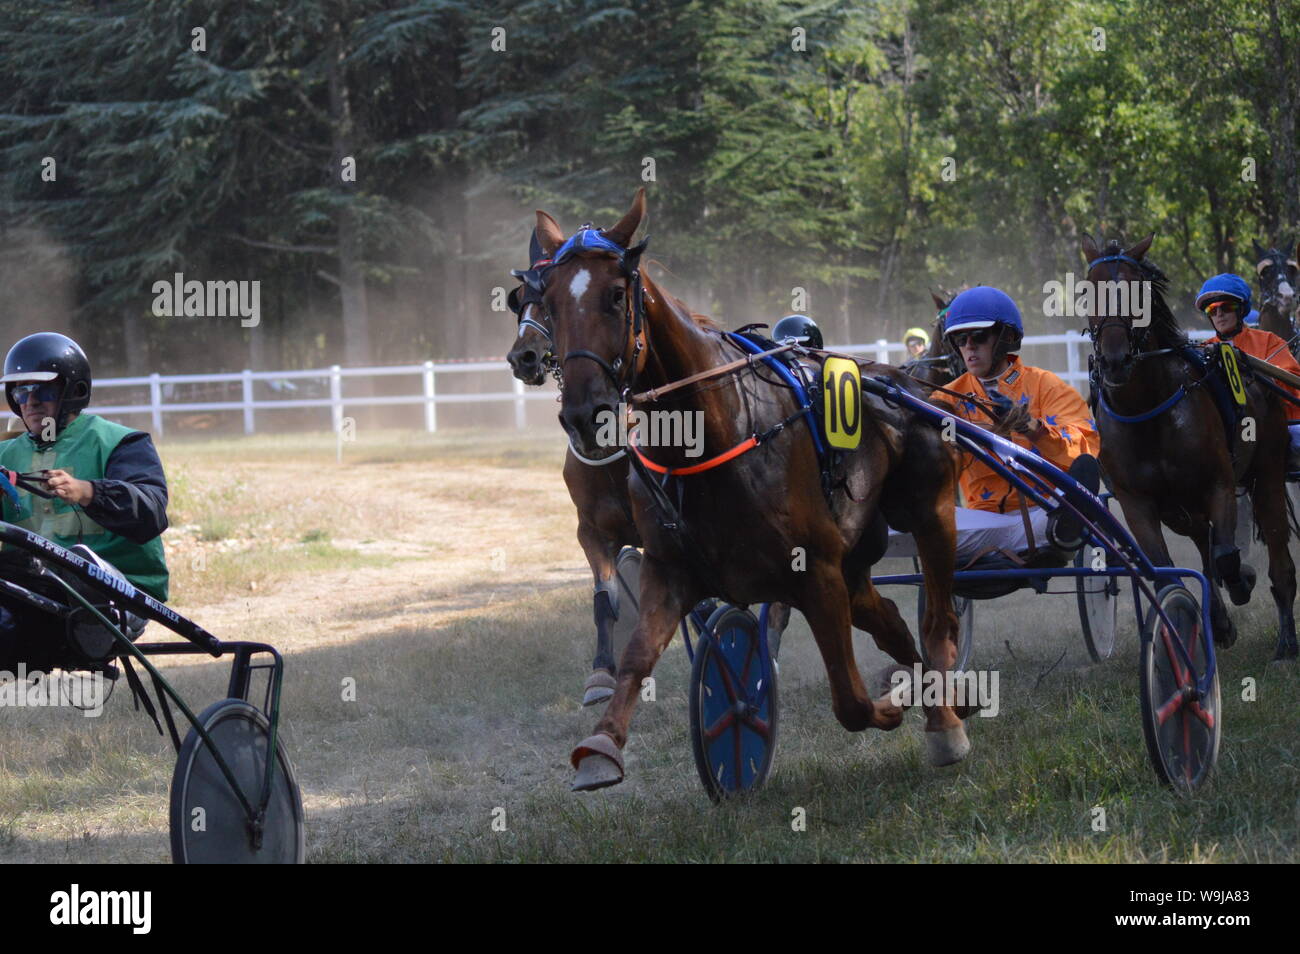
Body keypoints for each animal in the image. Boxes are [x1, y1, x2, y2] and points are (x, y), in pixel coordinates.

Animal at [531, 188, 969, 791]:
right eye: (547, 301)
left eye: (616, 295)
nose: (583, 414)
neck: (718, 436)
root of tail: (905, 380)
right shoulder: (670, 570)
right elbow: (637, 655)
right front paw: (601, 746)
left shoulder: (817, 572)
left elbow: (851, 702)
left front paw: (893, 707)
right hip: (857, 557)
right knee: (890, 620)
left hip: (930, 510)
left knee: (938, 617)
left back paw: (945, 718)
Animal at [1082, 233, 1298, 661]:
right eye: (1088, 291)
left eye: (1138, 290)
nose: (1114, 360)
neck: (1146, 408)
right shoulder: (1138, 502)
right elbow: (1168, 572)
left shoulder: (1219, 483)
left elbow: (1227, 557)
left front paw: (1243, 579)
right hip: (1178, 507)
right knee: (1201, 539)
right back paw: (1220, 621)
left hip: (1267, 472)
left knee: (1274, 556)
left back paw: (1285, 639)